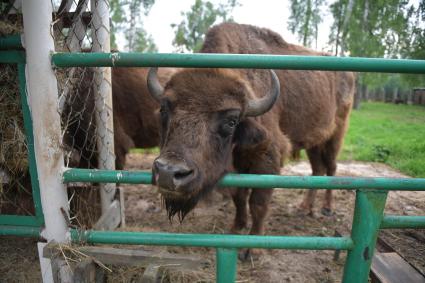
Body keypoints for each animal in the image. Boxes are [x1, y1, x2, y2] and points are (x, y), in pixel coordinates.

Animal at [147, 23, 352, 255]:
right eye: (164, 109)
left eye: (232, 121)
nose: (168, 172)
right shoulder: (237, 167)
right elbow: (239, 197)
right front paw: (236, 228)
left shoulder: (268, 160)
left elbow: (258, 203)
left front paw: (252, 249)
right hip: (314, 142)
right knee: (318, 169)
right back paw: (304, 208)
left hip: (335, 136)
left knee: (331, 168)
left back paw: (326, 208)